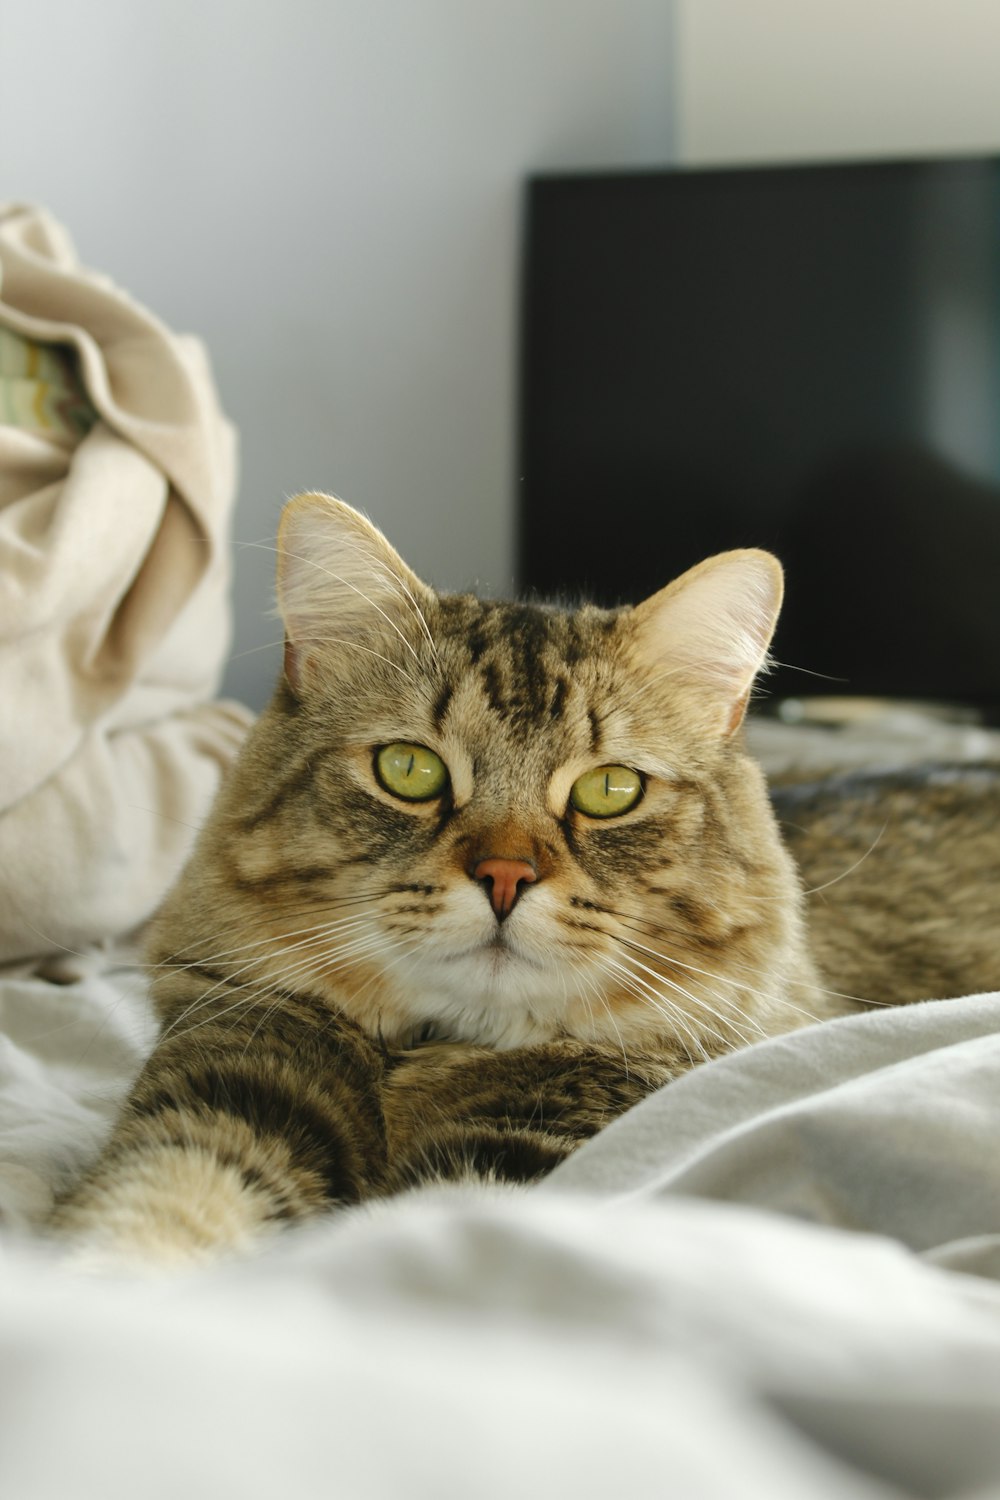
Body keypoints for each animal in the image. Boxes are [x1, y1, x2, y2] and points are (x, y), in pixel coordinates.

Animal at [56, 492, 1000, 1266]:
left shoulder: (538, 1148)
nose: (505, 877)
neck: (429, 1055)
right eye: (408, 770)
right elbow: (154, 1211)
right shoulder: (231, 1086)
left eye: (610, 790)